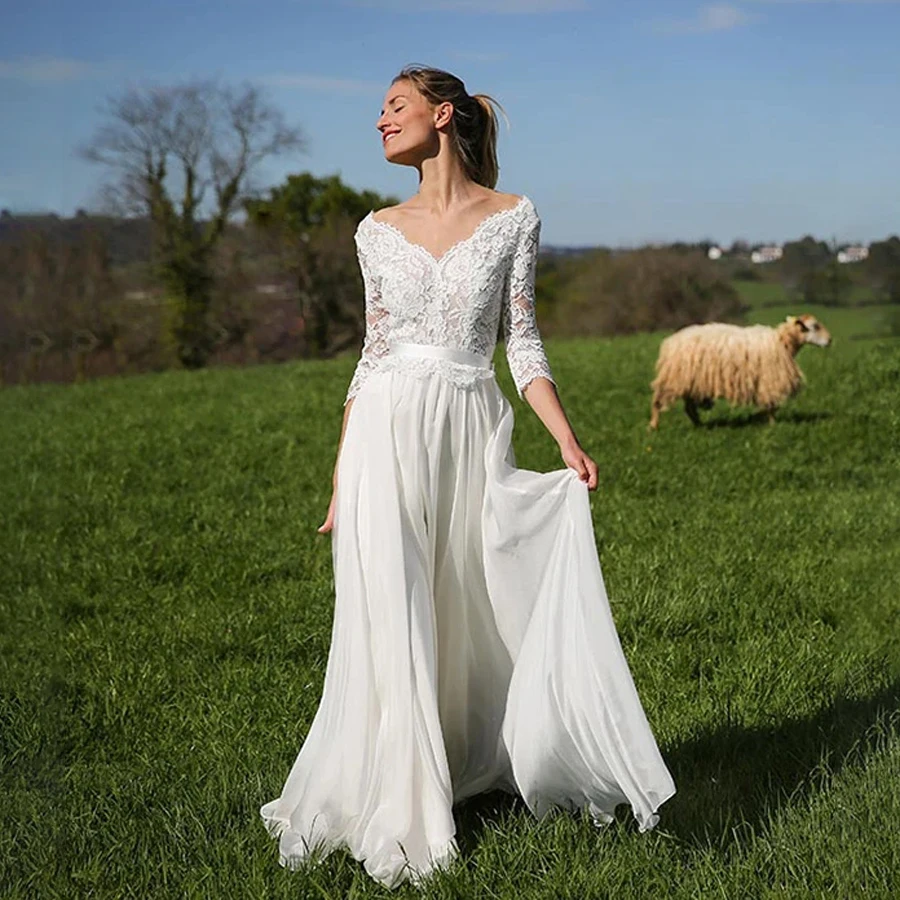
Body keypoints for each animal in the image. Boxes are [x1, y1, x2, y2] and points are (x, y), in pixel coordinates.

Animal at [652, 314, 832, 430]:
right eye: (815, 326)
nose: (830, 340)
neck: (782, 342)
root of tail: (670, 342)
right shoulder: (769, 379)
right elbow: (771, 405)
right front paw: (772, 424)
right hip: (675, 377)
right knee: (658, 401)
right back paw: (653, 427)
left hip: (691, 380)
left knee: (689, 407)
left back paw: (700, 426)